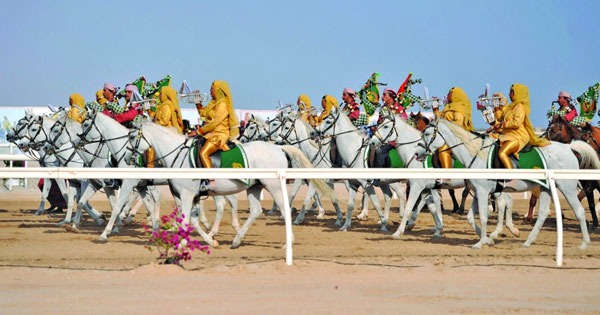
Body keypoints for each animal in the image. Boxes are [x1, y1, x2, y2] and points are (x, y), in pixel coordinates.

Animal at [127, 118, 338, 249]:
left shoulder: (187, 195)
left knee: (284, 209)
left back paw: (288, 242)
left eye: (130, 136)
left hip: (274, 186)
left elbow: (186, 220)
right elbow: (193, 221)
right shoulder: (189, 196)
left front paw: (182, 245)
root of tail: (278, 148)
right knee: (255, 211)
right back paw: (237, 240)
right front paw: (210, 241)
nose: (129, 157)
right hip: (254, 187)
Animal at [418, 118, 600, 249]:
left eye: (427, 134)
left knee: (579, 210)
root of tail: (569, 148)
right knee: (542, 214)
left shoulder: (483, 192)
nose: (418, 152)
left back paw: (584, 243)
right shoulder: (478, 192)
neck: (477, 154)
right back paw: (527, 241)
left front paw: (480, 242)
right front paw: (487, 239)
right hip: (546, 189)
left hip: (567, 187)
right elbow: (471, 217)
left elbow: (483, 216)